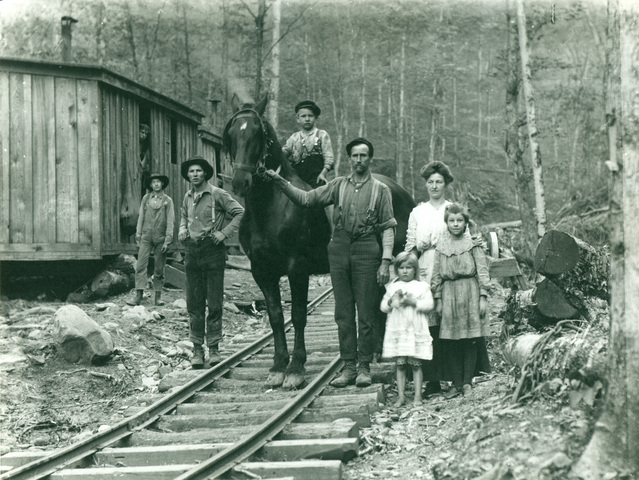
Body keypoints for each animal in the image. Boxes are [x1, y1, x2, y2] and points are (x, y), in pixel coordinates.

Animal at [226, 95, 420, 388]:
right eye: (233, 133)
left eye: (258, 133)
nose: (240, 181)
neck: (271, 207)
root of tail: (402, 193)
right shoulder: (262, 271)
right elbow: (276, 317)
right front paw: (277, 367)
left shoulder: (297, 269)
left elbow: (298, 316)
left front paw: (295, 369)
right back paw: (375, 351)